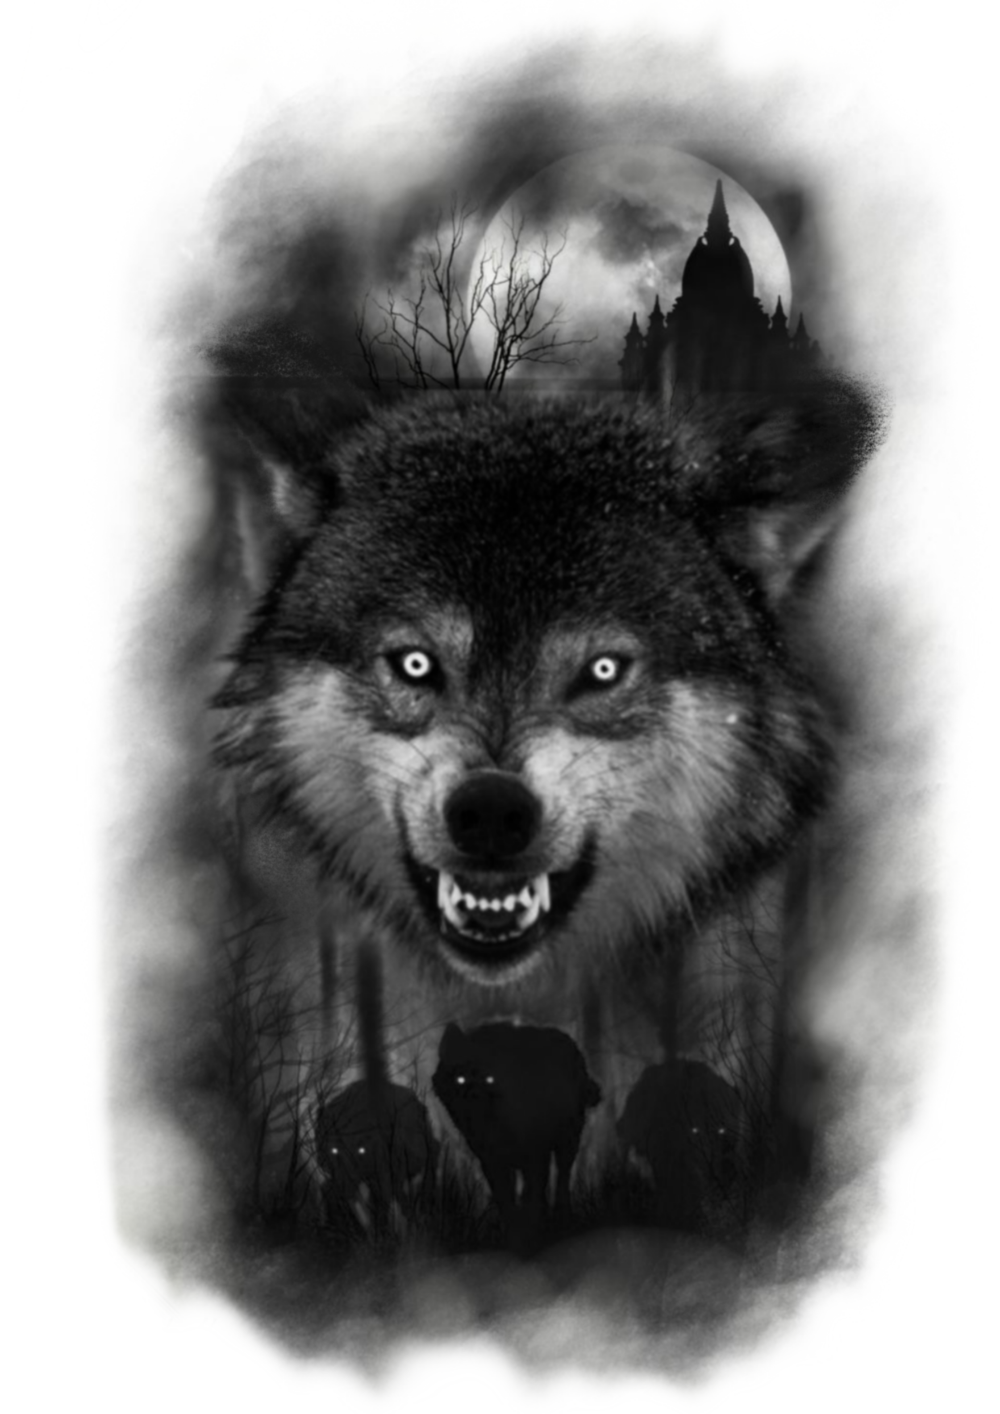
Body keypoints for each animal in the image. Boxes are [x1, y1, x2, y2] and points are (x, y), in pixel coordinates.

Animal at [432, 1021, 601, 1240]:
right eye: (460, 1079)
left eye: (490, 1079)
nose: (473, 1097)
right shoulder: (491, 1160)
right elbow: (506, 1200)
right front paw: (516, 1233)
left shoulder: (535, 1154)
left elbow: (532, 1194)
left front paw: (532, 1231)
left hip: (567, 1143)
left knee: (562, 1180)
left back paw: (562, 1219)